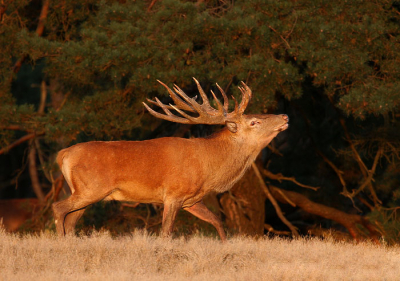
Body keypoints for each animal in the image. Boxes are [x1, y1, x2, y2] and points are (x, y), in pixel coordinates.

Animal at [52, 77, 288, 240]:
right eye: (254, 122)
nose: (285, 116)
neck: (209, 167)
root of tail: (63, 154)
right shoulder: (174, 193)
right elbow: (166, 233)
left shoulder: (192, 200)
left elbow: (218, 222)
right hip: (91, 188)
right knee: (58, 208)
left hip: (87, 192)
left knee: (71, 220)